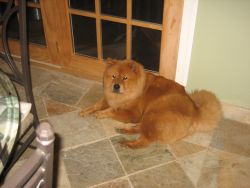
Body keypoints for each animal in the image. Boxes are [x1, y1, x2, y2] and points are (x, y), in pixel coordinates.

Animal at [79, 58, 221, 148]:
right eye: (113, 76)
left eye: (125, 78)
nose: (116, 86)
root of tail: (196, 113)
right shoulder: (109, 98)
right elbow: (97, 104)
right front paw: (86, 110)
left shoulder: (133, 113)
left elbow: (111, 110)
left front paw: (100, 113)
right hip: (150, 116)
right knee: (141, 129)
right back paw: (123, 130)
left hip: (154, 112)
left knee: (145, 140)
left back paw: (127, 144)